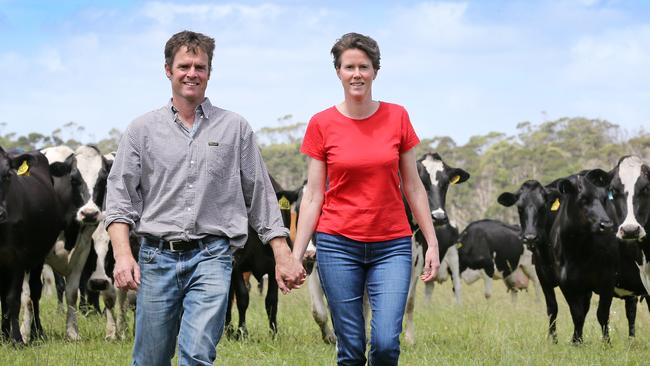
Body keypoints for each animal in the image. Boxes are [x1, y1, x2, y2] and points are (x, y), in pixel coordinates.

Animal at [0, 148, 61, 344]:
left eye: (7, 175)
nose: (0, 213)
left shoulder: (18, 259)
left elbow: (13, 299)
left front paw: (17, 339)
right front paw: (6, 336)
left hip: (38, 259)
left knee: (34, 292)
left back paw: (36, 333)